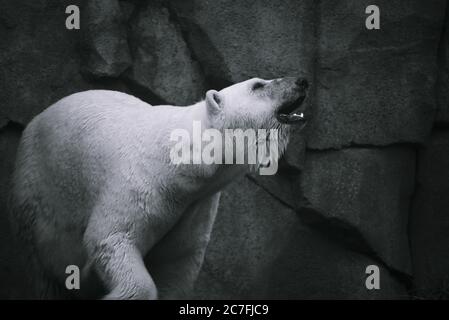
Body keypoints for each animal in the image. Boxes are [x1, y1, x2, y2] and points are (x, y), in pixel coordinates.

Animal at [8, 76, 308, 298]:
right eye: (258, 84)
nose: (302, 80)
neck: (185, 161)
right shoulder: (141, 184)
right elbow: (111, 237)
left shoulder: (194, 208)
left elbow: (176, 261)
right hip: (35, 192)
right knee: (40, 270)